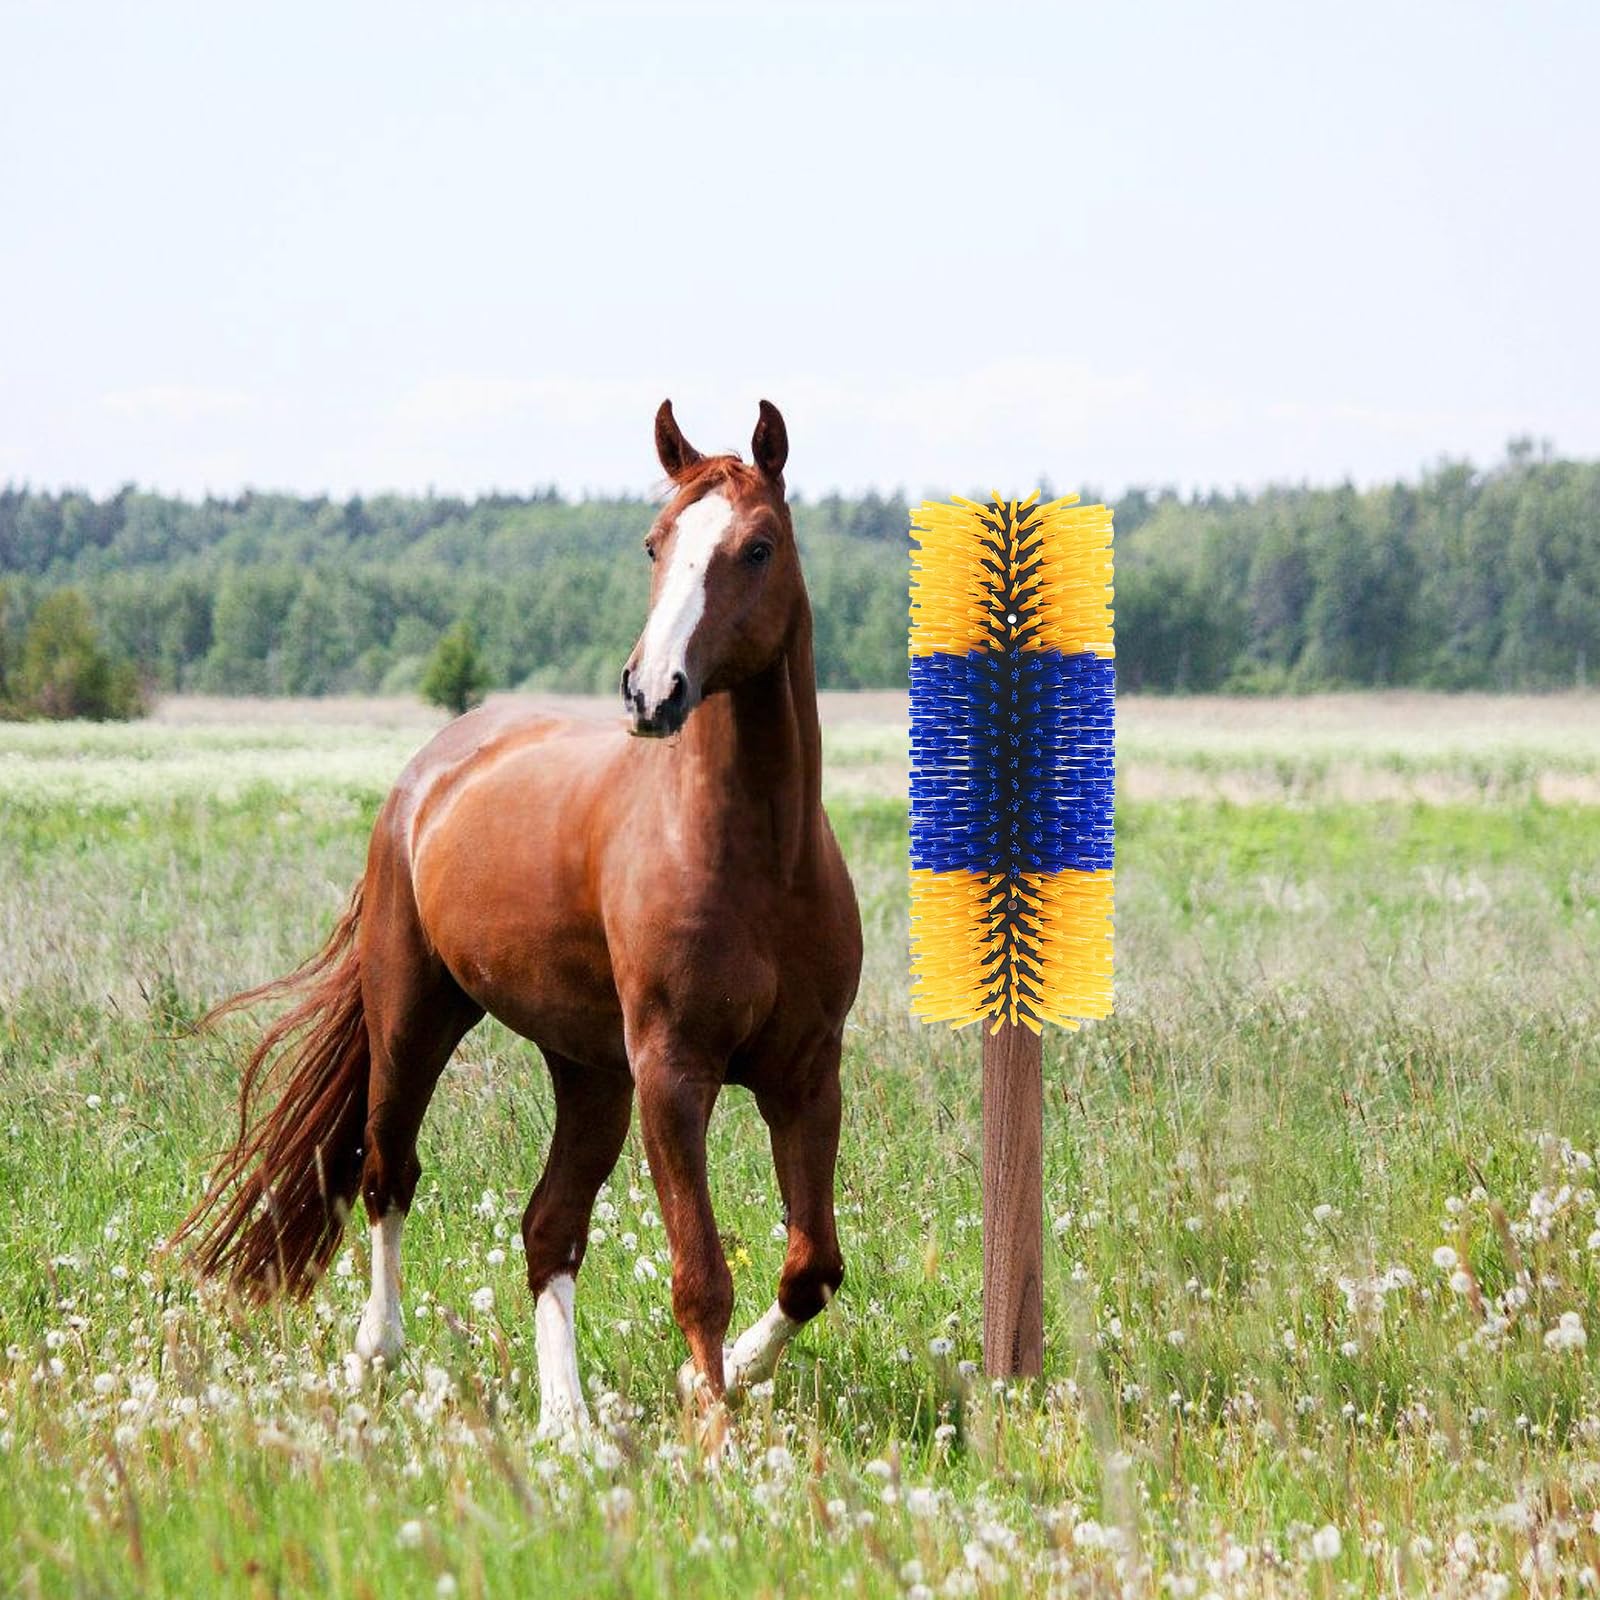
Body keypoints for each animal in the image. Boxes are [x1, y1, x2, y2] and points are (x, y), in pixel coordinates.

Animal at [174, 400, 863, 1437]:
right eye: (655, 542)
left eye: (758, 547)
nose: (651, 692)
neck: (759, 861)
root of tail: (428, 773)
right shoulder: (675, 1075)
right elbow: (701, 1274)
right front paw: (709, 1429)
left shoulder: (806, 1075)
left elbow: (811, 1265)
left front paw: (727, 1379)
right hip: (416, 1020)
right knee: (386, 1175)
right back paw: (379, 1354)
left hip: (589, 1072)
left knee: (550, 1228)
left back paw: (567, 1423)